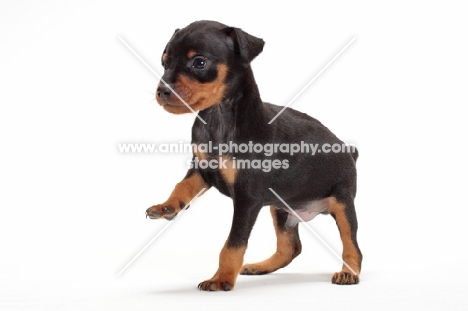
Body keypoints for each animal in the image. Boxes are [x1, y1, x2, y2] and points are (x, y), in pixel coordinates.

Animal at [146, 20, 362, 292]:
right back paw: (260, 266)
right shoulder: (202, 169)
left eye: (199, 62)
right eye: (164, 63)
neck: (217, 119)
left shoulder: (247, 199)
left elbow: (233, 243)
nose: (161, 90)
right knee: (290, 248)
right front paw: (167, 206)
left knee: (352, 245)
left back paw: (348, 273)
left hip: (343, 203)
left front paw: (222, 278)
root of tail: (349, 150)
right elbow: (182, 186)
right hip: (281, 208)